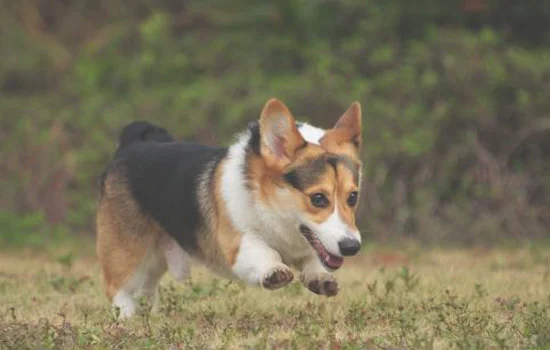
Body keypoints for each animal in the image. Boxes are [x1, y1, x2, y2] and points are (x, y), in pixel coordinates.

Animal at [97, 98, 364, 318]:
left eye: (352, 197)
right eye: (318, 198)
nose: (352, 247)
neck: (270, 206)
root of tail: (130, 145)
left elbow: (313, 259)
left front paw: (320, 278)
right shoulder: (236, 240)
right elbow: (262, 251)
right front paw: (274, 271)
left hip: (155, 257)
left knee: (146, 289)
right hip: (129, 251)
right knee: (117, 287)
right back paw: (128, 317)